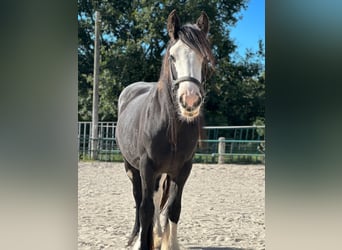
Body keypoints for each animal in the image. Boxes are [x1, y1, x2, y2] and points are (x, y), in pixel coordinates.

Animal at [116, 9, 215, 250]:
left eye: (204, 59)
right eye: (172, 56)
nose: (190, 101)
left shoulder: (183, 169)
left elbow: (173, 208)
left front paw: (168, 243)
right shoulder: (146, 167)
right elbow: (145, 208)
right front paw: (143, 243)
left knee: (157, 196)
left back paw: (159, 235)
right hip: (131, 167)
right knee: (139, 198)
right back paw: (135, 237)